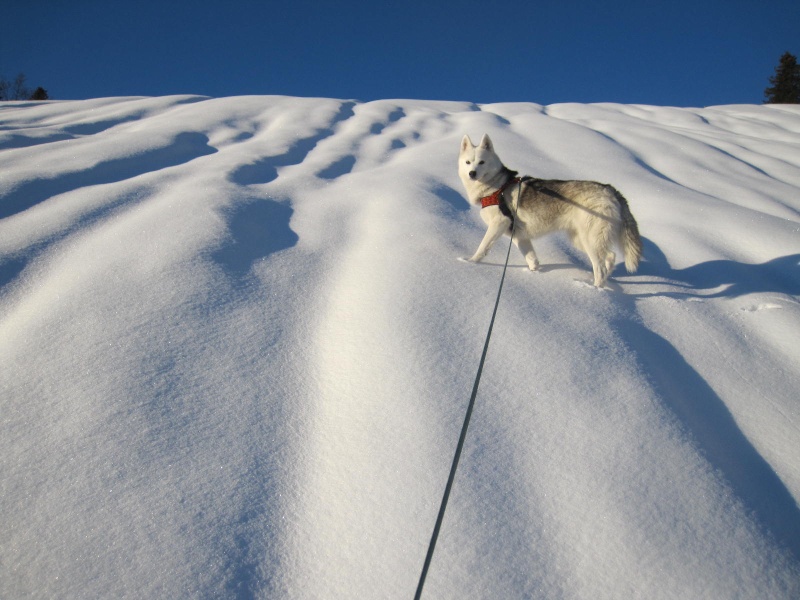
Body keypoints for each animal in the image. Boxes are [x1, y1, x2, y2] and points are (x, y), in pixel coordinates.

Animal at [456, 134, 644, 288]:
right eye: (468, 162)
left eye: (481, 162)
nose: (472, 173)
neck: (496, 188)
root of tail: (609, 189)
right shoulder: (518, 235)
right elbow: (531, 257)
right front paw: (534, 272)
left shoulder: (498, 224)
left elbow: (482, 247)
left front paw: (470, 262)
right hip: (581, 240)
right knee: (610, 257)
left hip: (591, 240)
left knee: (601, 266)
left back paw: (595, 288)